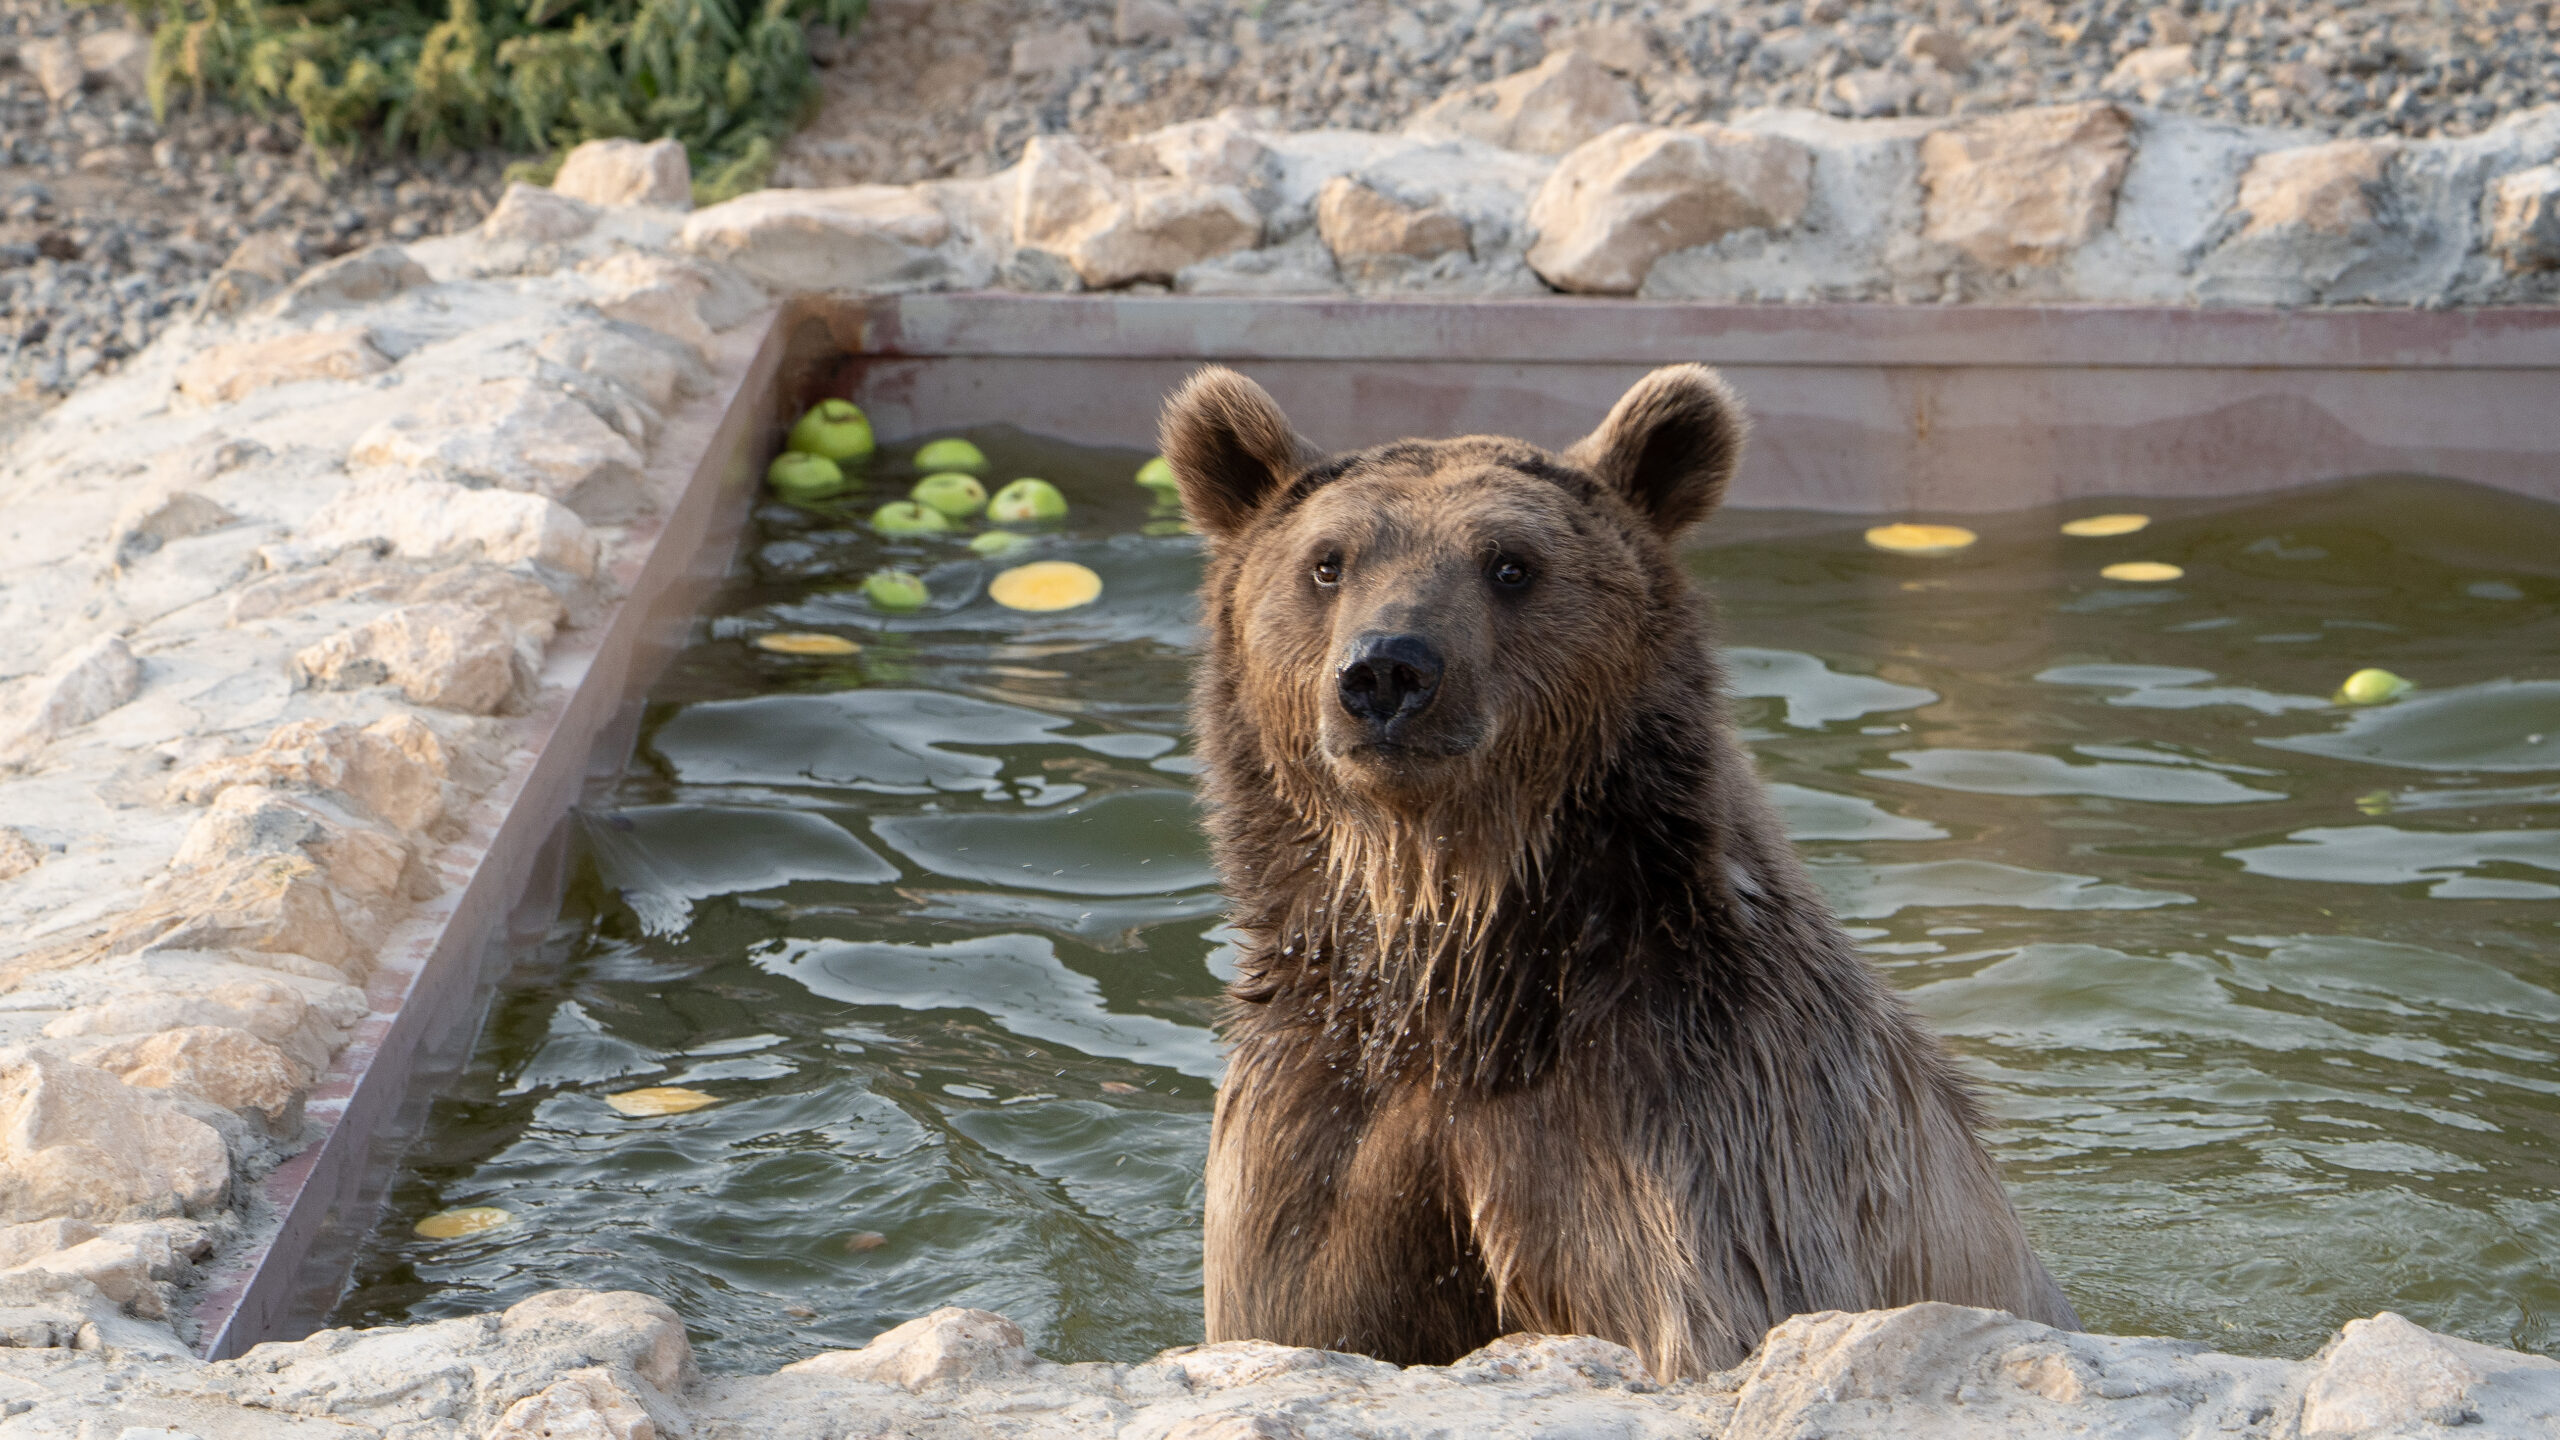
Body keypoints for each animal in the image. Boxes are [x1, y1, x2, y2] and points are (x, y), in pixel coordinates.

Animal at [1157, 362, 2080, 1382]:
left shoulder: (1697, 1133)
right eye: (1328, 561)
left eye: (1510, 563)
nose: (1389, 670)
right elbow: (1295, 1297)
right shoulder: (1315, 1127)